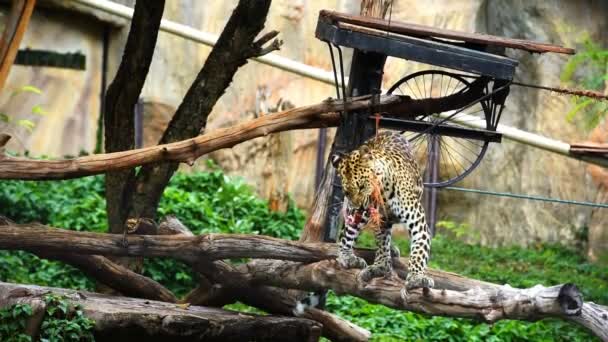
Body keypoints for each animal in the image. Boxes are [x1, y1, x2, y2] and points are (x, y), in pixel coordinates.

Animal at [332, 130, 432, 298]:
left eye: (362, 186)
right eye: (347, 192)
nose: (358, 207)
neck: (384, 193)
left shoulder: (417, 220)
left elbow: (419, 248)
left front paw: (416, 278)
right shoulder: (380, 220)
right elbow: (381, 243)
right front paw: (381, 266)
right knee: (346, 235)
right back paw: (348, 257)